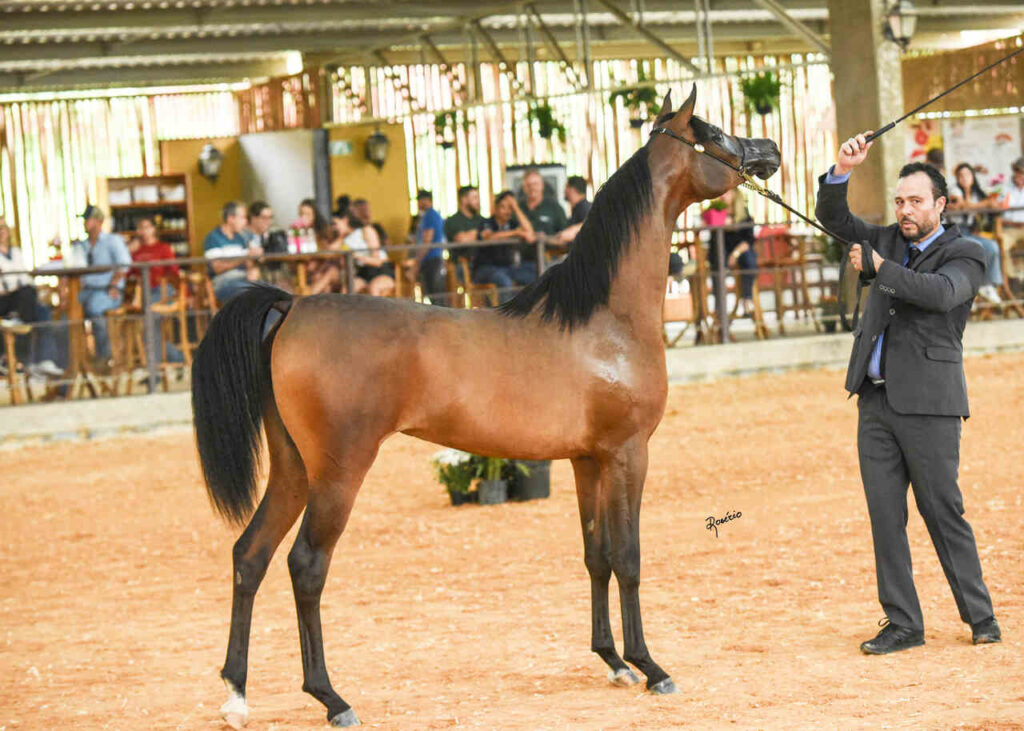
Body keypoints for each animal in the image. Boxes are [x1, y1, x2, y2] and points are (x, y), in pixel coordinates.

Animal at [192, 85, 781, 728]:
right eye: (714, 134)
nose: (770, 150)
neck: (605, 321)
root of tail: (291, 306)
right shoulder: (628, 454)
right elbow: (628, 558)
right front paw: (651, 668)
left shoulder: (588, 460)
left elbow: (595, 554)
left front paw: (612, 662)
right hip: (338, 472)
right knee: (306, 566)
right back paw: (331, 698)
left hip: (293, 468)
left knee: (250, 555)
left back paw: (235, 692)